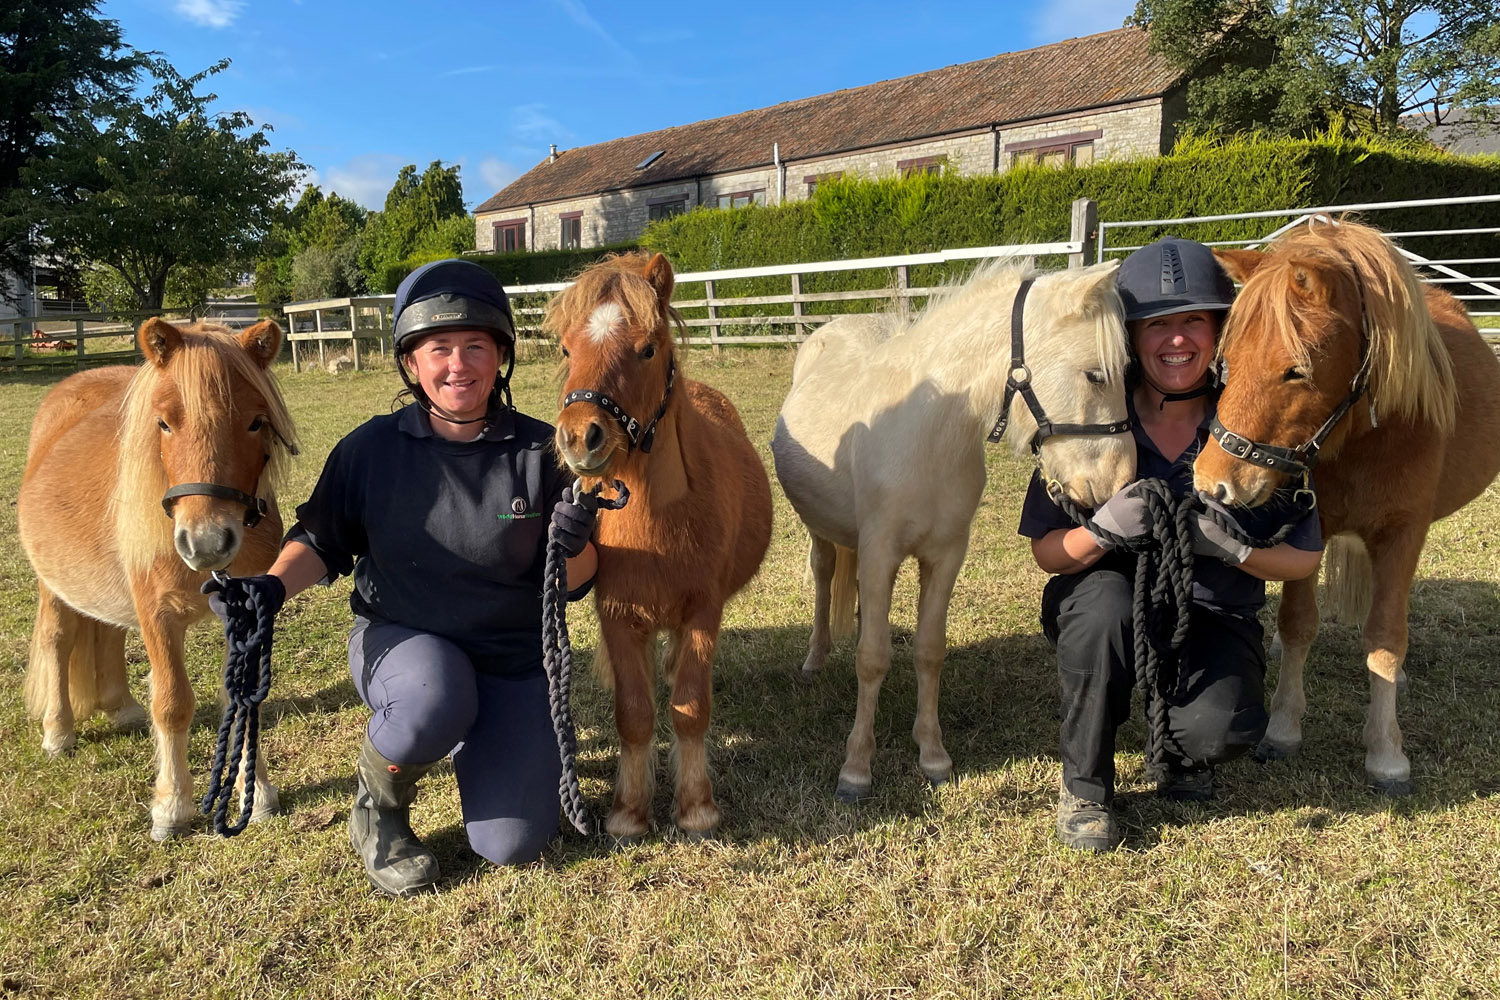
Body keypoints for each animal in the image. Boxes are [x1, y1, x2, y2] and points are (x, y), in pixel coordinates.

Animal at [16, 319, 298, 839]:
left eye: (256, 421)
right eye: (164, 423)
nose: (206, 542)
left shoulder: (248, 615)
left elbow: (243, 697)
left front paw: (258, 795)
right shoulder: (157, 614)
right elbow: (171, 703)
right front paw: (172, 806)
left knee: (106, 631)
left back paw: (121, 708)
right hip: (54, 584)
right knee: (58, 640)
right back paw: (59, 732)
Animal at [546, 254, 774, 839]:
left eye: (647, 349)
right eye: (566, 350)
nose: (579, 438)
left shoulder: (702, 613)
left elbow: (689, 707)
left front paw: (696, 806)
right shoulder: (618, 616)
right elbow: (634, 713)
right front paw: (629, 810)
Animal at [774, 260, 1134, 803]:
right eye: (1095, 374)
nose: (1119, 482)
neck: (927, 428)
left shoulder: (945, 556)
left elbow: (929, 651)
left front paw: (932, 754)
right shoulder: (881, 553)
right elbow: (872, 657)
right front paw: (856, 768)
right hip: (821, 531)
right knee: (823, 577)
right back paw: (815, 660)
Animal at [1194, 220, 1500, 797]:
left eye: (1296, 370)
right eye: (1226, 363)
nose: (1211, 483)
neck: (1371, 432)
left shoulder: (1403, 533)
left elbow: (1384, 635)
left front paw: (1386, 753)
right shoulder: (1311, 529)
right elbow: (1297, 623)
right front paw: (1283, 728)